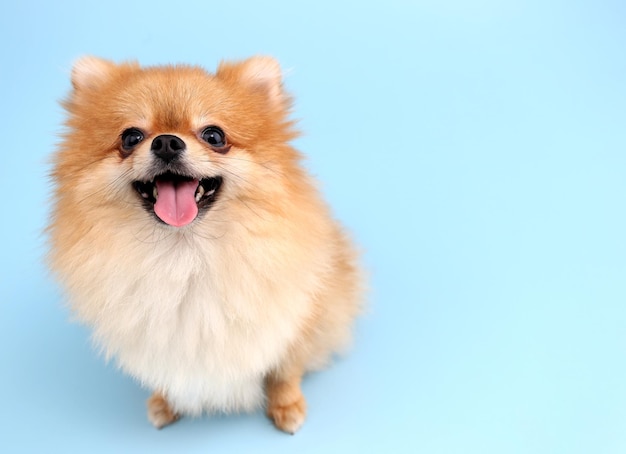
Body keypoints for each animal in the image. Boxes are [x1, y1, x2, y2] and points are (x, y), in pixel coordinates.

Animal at [47, 55, 360, 432]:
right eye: (131, 137)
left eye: (214, 135)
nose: (167, 142)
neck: (184, 253)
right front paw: (165, 400)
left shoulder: (294, 319)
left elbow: (285, 371)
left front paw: (287, 406)